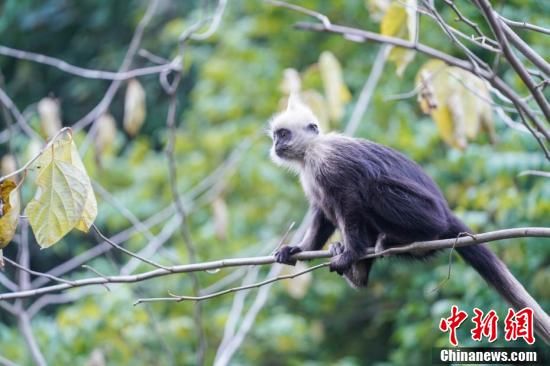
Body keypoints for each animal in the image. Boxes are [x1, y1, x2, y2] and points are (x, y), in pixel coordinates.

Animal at [272, 94, 550, 344]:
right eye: (275, 135)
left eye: (283, 134)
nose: (275, 146)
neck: (309, 152)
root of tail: (446, 212)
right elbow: (322, 213)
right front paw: (300, 249)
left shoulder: (328, 161)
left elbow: (349, 200)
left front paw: (351, 253)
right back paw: (361, 271)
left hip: (428, 212)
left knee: (371, 186)